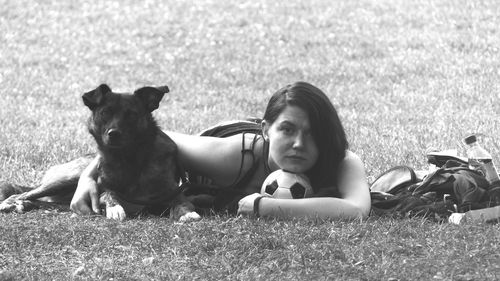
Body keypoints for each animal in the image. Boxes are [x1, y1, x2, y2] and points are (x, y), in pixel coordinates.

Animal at [0, 83, 199, 221]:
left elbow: (181, 201)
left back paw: (25, 204)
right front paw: (115, 207)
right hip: (66, 179)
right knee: (20, 193)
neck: (130, 158)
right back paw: (13, 203)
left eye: (132, 114)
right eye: (105, 113)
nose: (114, 134)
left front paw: (187, 212)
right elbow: (109, 193)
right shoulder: (102, 188)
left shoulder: (173, 190)